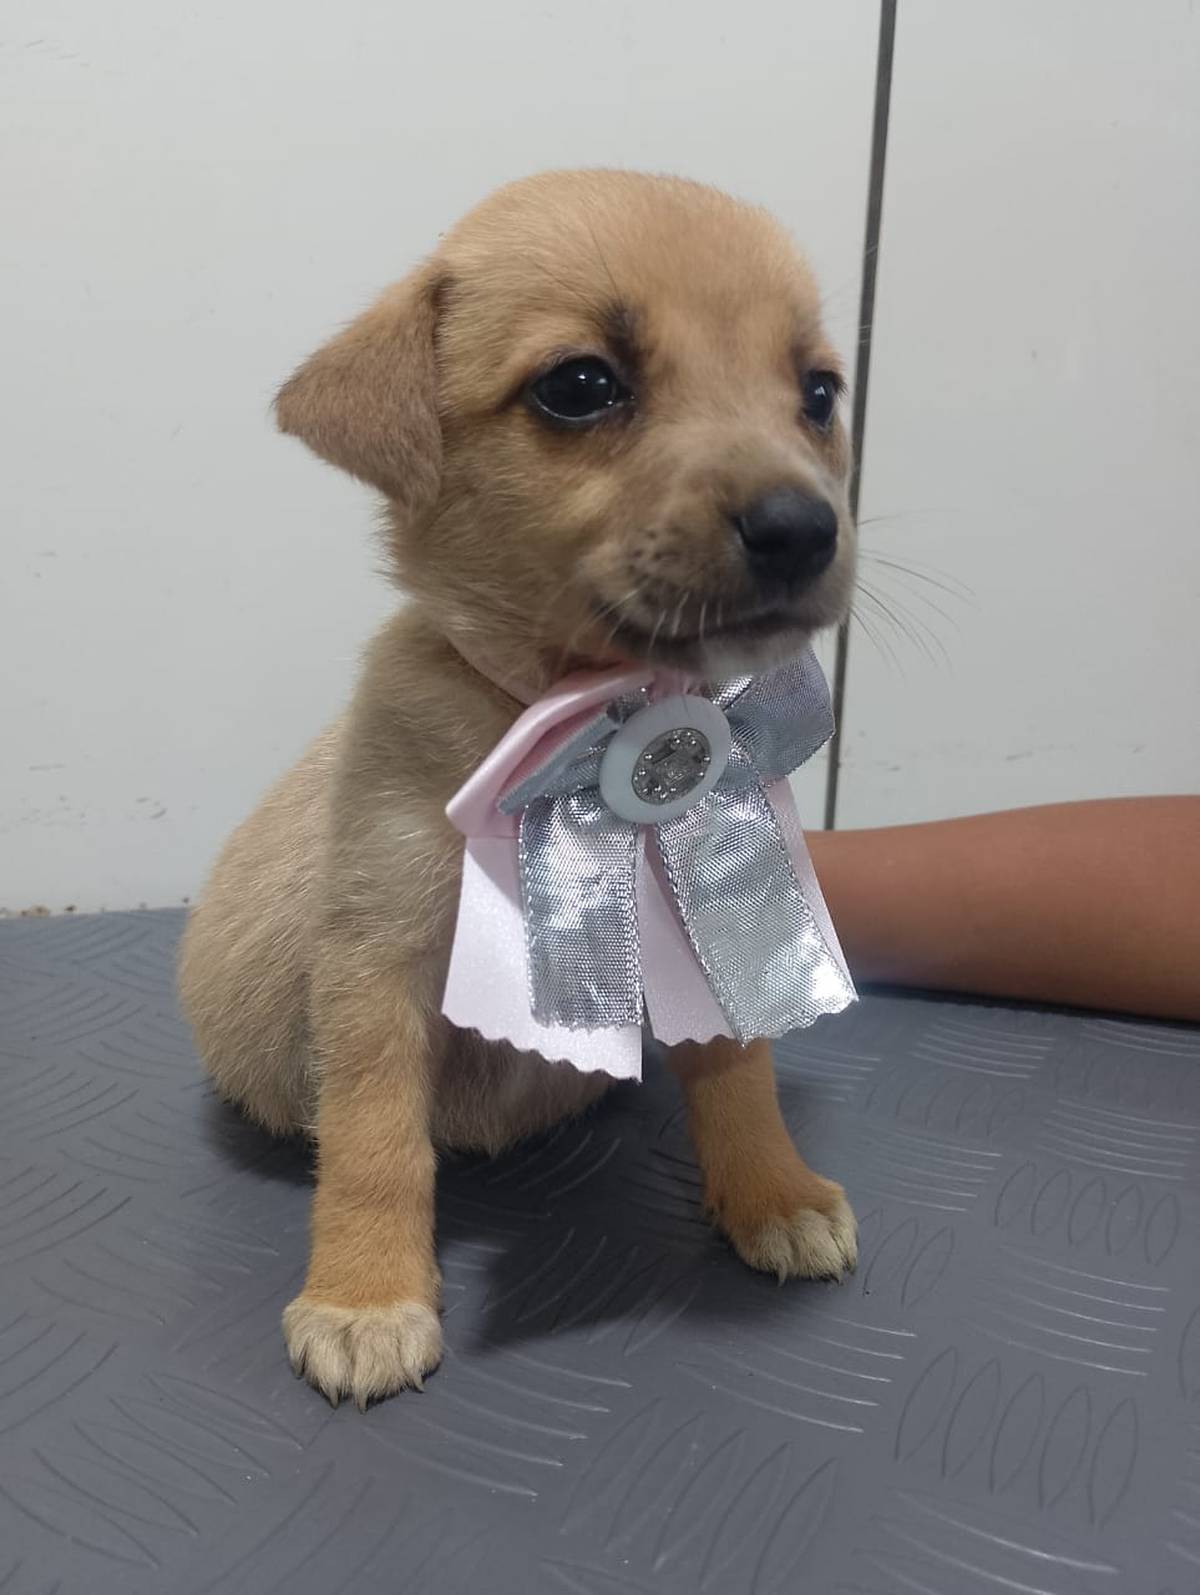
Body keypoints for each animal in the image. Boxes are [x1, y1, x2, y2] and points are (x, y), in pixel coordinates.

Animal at [178, 169, 859, 1408]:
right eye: (581, 385)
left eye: (819, 391)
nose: (802, 527)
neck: (574, 711)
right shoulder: (374, 966)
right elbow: (375, 1143)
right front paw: (365, 1295)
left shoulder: (703, 919)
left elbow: (742, 1069)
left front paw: (774, 1192)